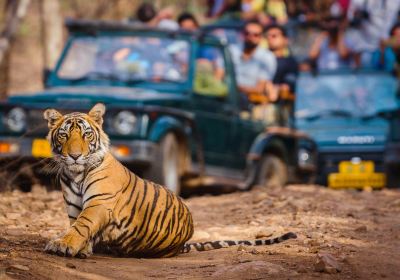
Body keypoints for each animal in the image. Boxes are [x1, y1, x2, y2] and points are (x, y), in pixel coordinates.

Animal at [43, 103, 296, 258]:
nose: (75, 156)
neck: (76, 174)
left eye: (87, 134)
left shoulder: (99, 203)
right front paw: (80, 249)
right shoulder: (74, 206)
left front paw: (63, 245)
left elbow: (81, 226)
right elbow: (77, 226)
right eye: (64, 135)